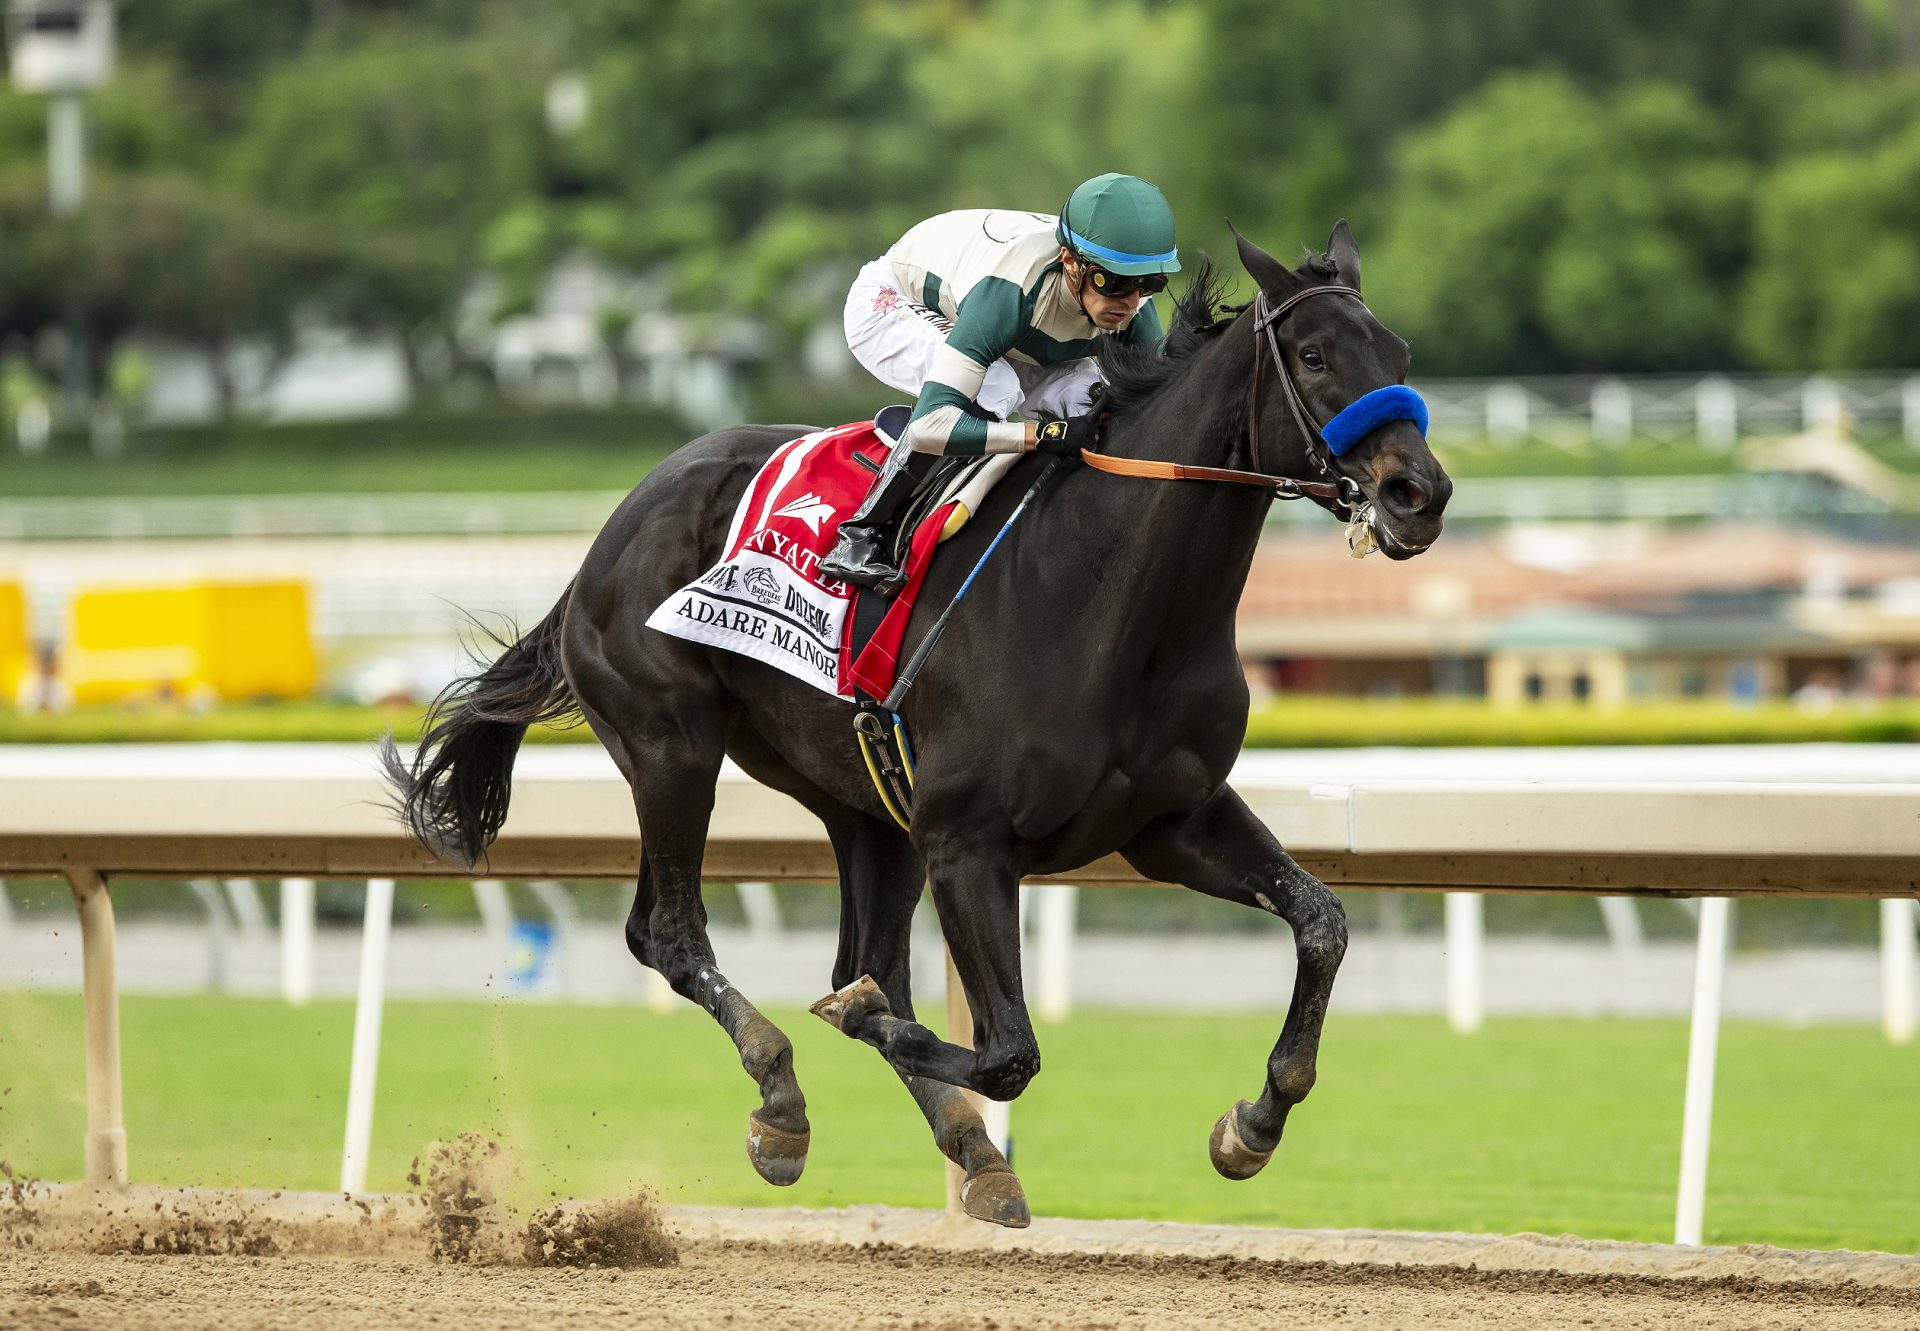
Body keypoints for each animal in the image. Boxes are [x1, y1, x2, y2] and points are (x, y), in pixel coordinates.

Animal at [378, 220, 1451, 1221]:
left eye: (1398, 353)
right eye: (1313, 357)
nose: (1420, 494)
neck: (1111, 603)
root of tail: (618, 519)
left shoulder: (1167, 820)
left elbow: (1322, 922)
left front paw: (1252, 1125)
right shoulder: (968, 840)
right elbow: (1007, 1047)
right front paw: (859, 1030)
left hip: (864, 804)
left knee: (867, 956)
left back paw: (971, 1153)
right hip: (671, 746)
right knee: (671, 933)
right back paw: (783, 1100)